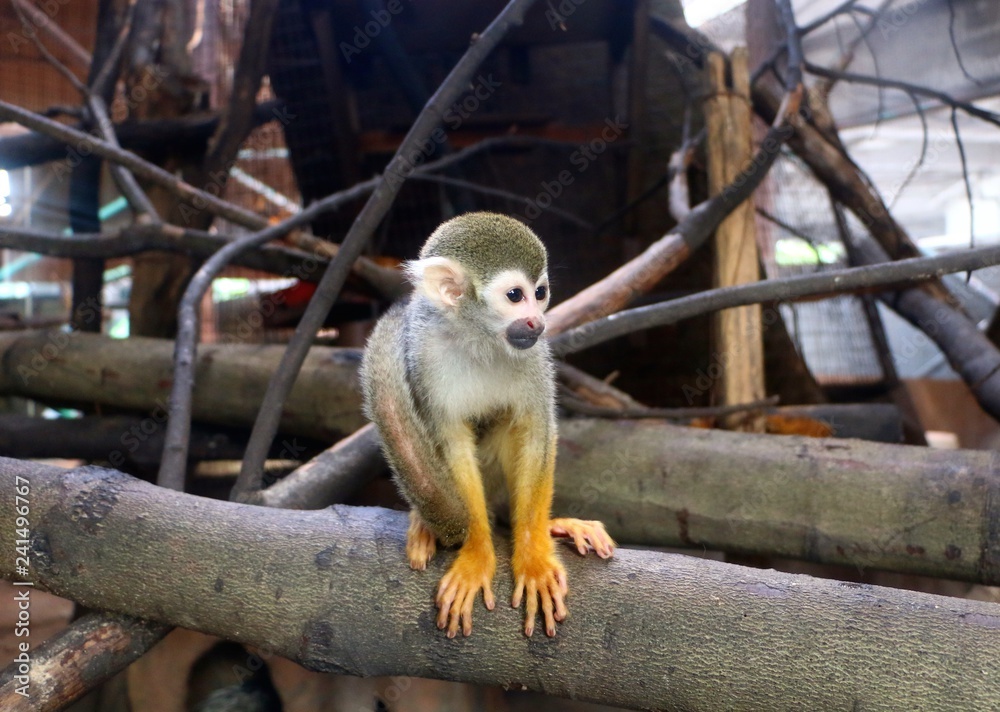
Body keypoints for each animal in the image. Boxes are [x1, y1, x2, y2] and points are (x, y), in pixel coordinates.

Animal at [360, 212, 614, 638]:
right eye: (515, 295)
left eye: (540, 292)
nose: (536, 321)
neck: (478, 339)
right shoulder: (427, 355)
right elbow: (452, 443)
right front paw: (477, 553)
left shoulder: (535, 356)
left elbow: (534, 431)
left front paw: (533, 557)